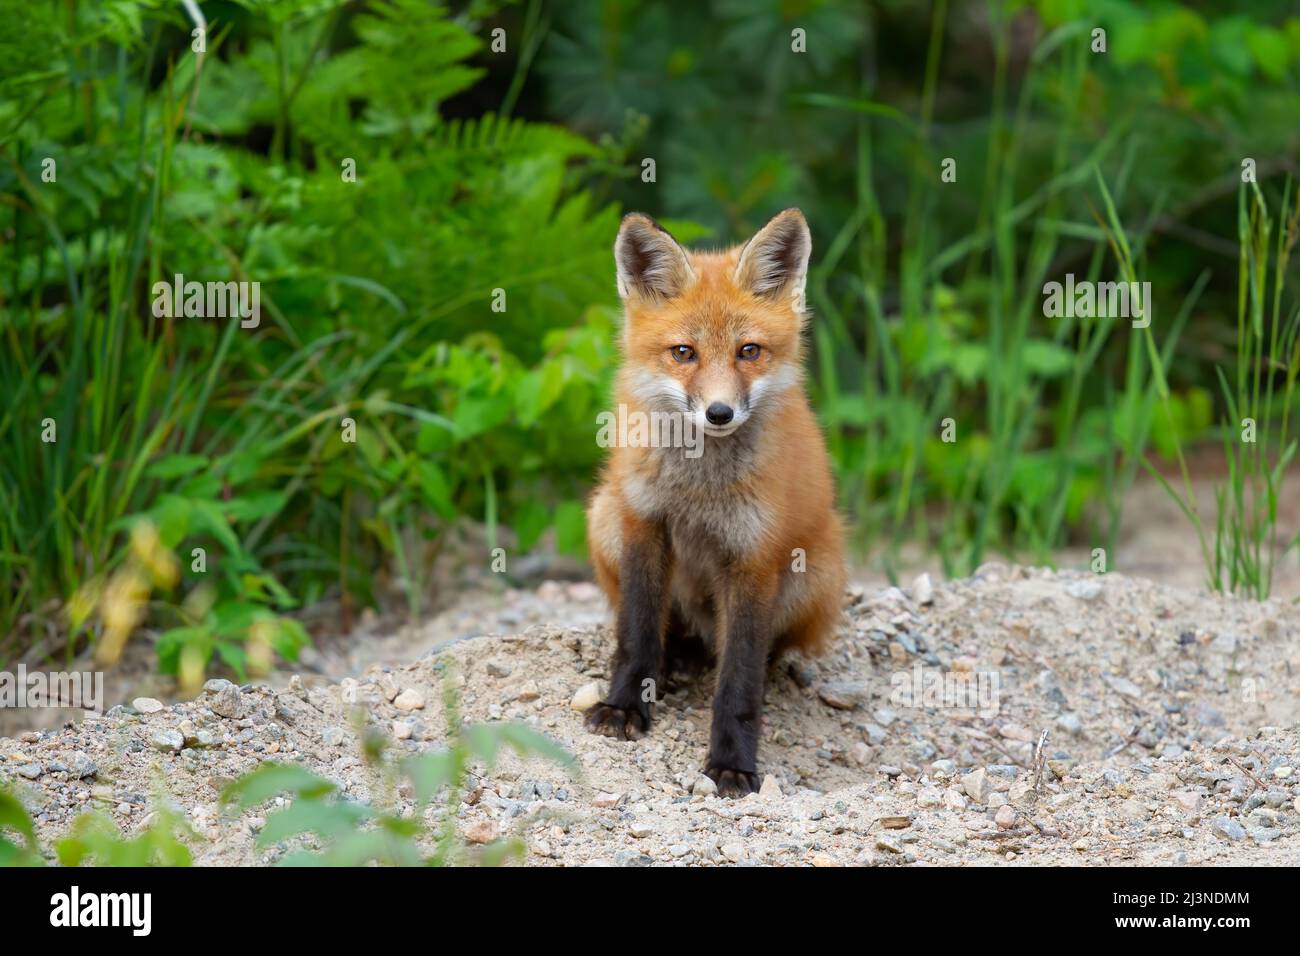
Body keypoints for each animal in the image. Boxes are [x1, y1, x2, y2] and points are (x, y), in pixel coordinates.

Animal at [585, 207, 847, 796]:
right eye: (684, 353)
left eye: (748, 351)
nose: (720, 413)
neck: (699, 489)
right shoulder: (643, 523)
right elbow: (636, 633)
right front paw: (625, 705)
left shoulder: (753, 558)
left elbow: (739, 681)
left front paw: (732, 763)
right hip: (604, 515)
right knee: (668, 630)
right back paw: (673, 661)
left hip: (816, 572)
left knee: (763, 652)